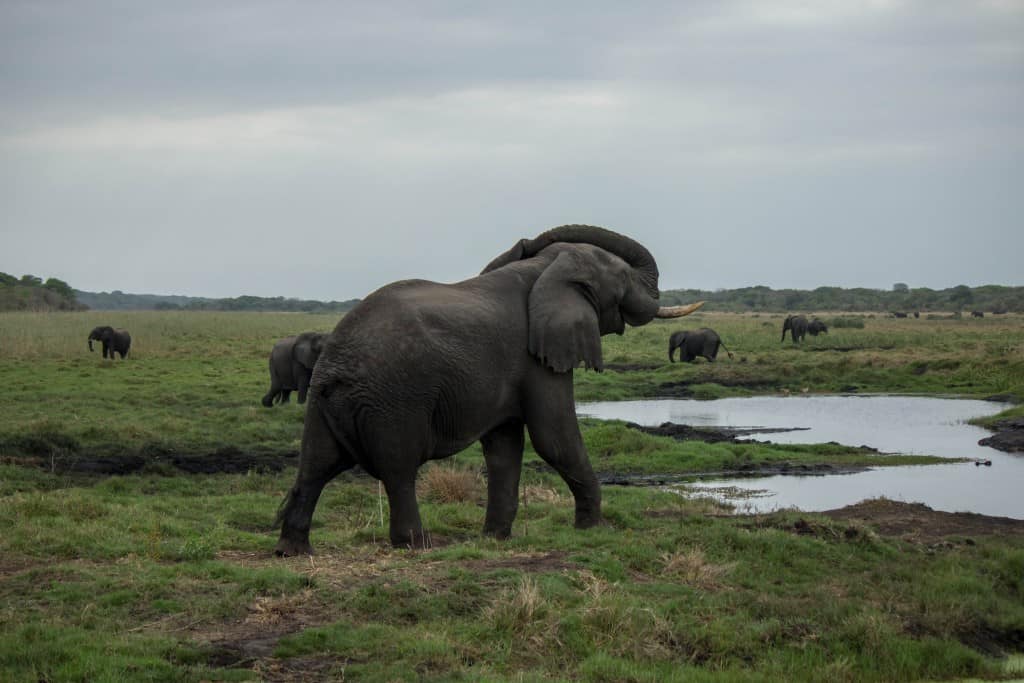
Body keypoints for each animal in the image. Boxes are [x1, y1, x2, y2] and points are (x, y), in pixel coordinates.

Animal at [272, 224, 704, 557]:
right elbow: (555, 438)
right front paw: (594, 530)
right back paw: (418, 544)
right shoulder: (536, 356)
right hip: (392, 399)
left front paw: (495, 539)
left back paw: (293, 550)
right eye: (624, 278)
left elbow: (504, 447)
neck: (544, 268)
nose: (526, 239)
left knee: (315, 466)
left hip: (325, 400)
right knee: (399, 469)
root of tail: (335, 361)